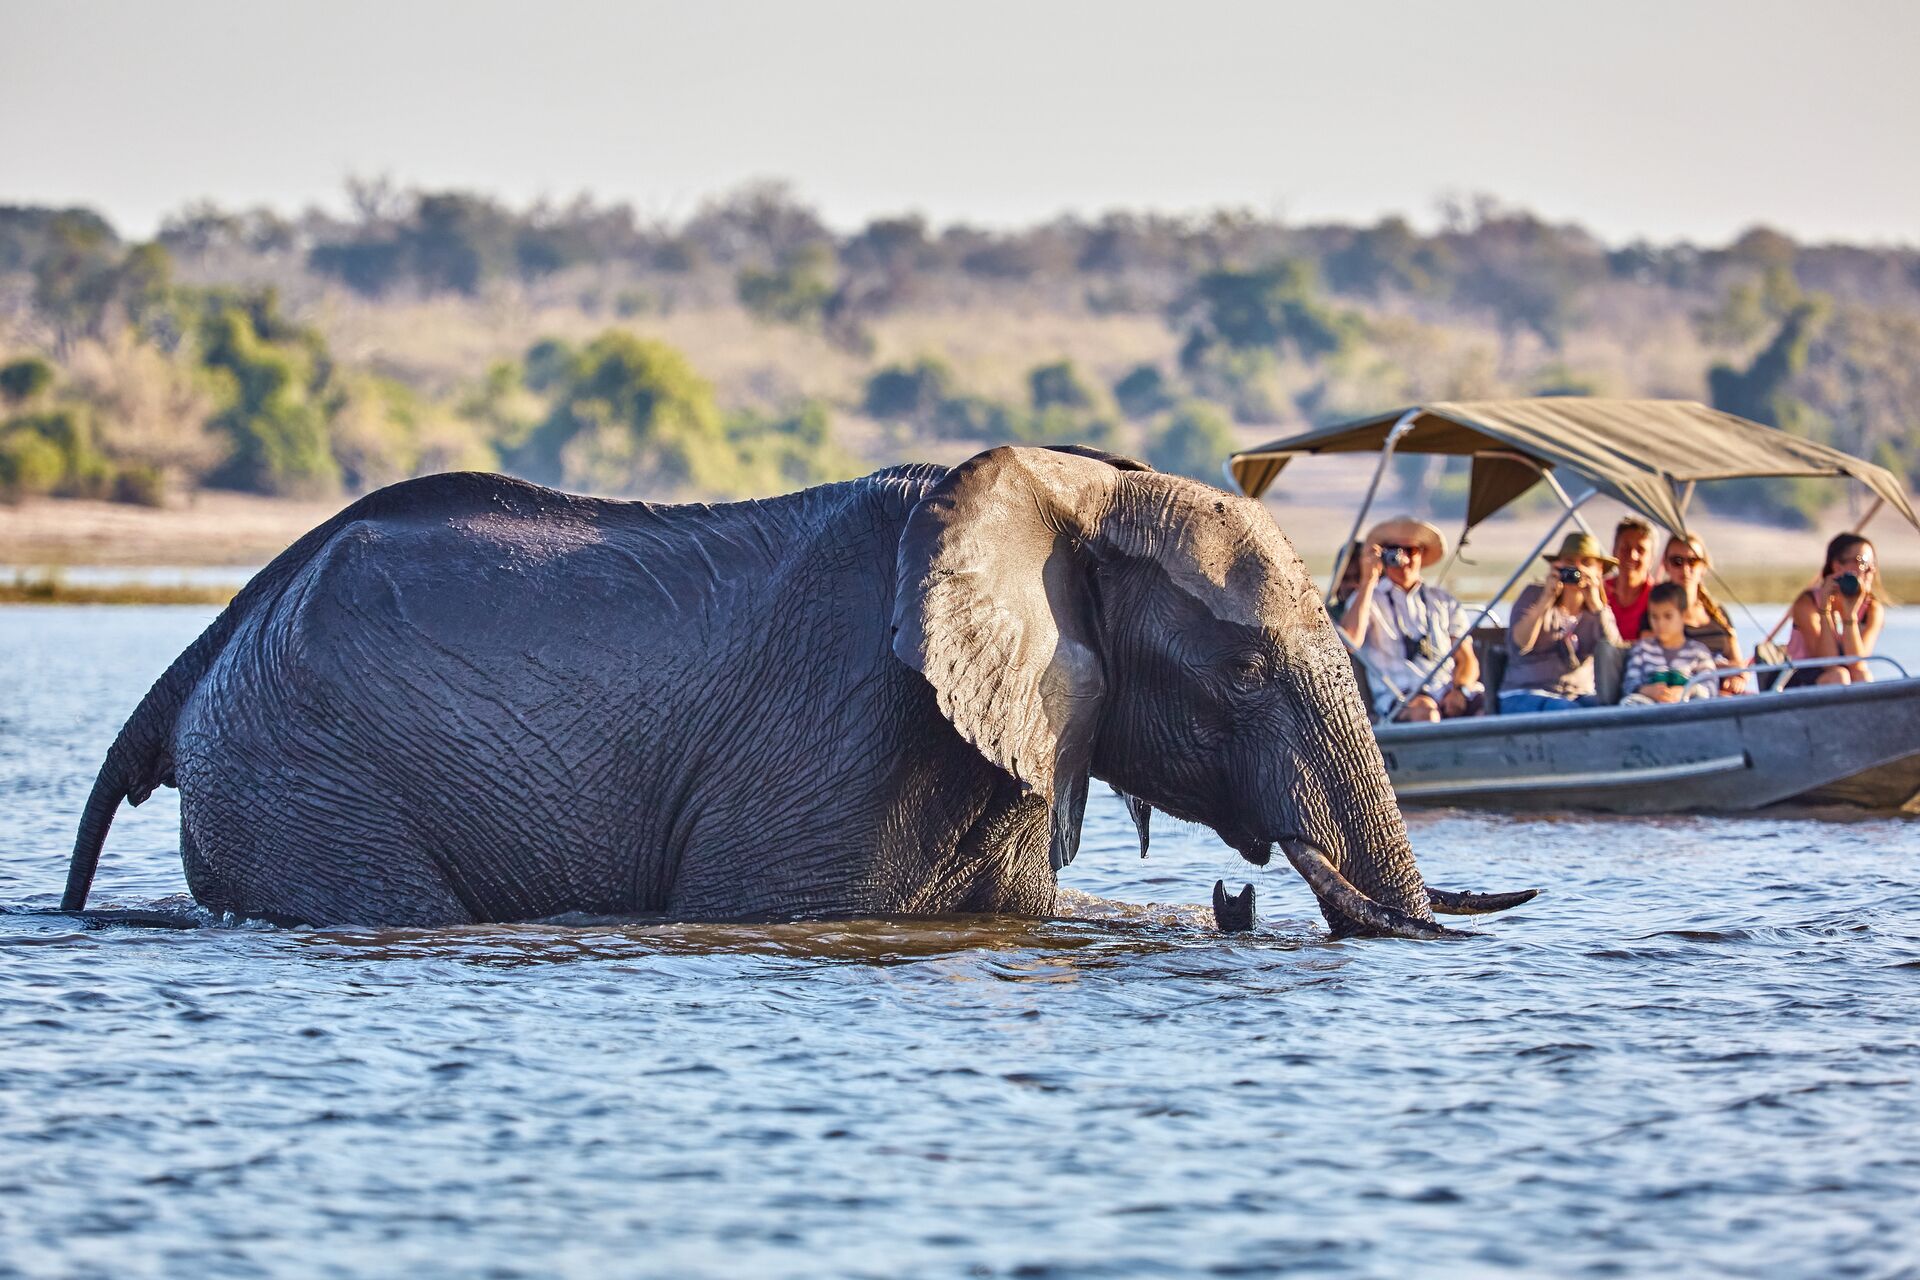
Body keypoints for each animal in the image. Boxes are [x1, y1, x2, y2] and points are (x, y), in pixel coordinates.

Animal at [62, 445, 1532, 937]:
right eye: (1239, 669)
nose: (1237, 894)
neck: (1068, 488)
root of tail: (215, 637)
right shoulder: (845, 736)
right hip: (306, 775)